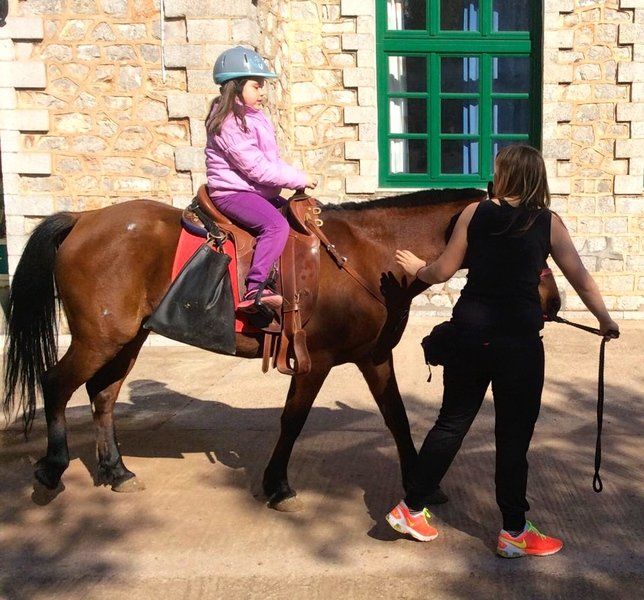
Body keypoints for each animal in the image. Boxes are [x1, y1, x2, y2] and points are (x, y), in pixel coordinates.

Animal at [3, 188, 561, 510]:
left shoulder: (374, 357)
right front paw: (277, 485)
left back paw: (116, 471)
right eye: (528, 239)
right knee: (57, 385)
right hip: (100, 338)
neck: (367, 255)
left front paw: (419, 485)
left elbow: (398, 419)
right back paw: (51, 470)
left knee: (103, 397)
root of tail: (85, 218)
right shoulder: (316, 361)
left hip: (126, 339)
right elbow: (293, 420)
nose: (553, 302)